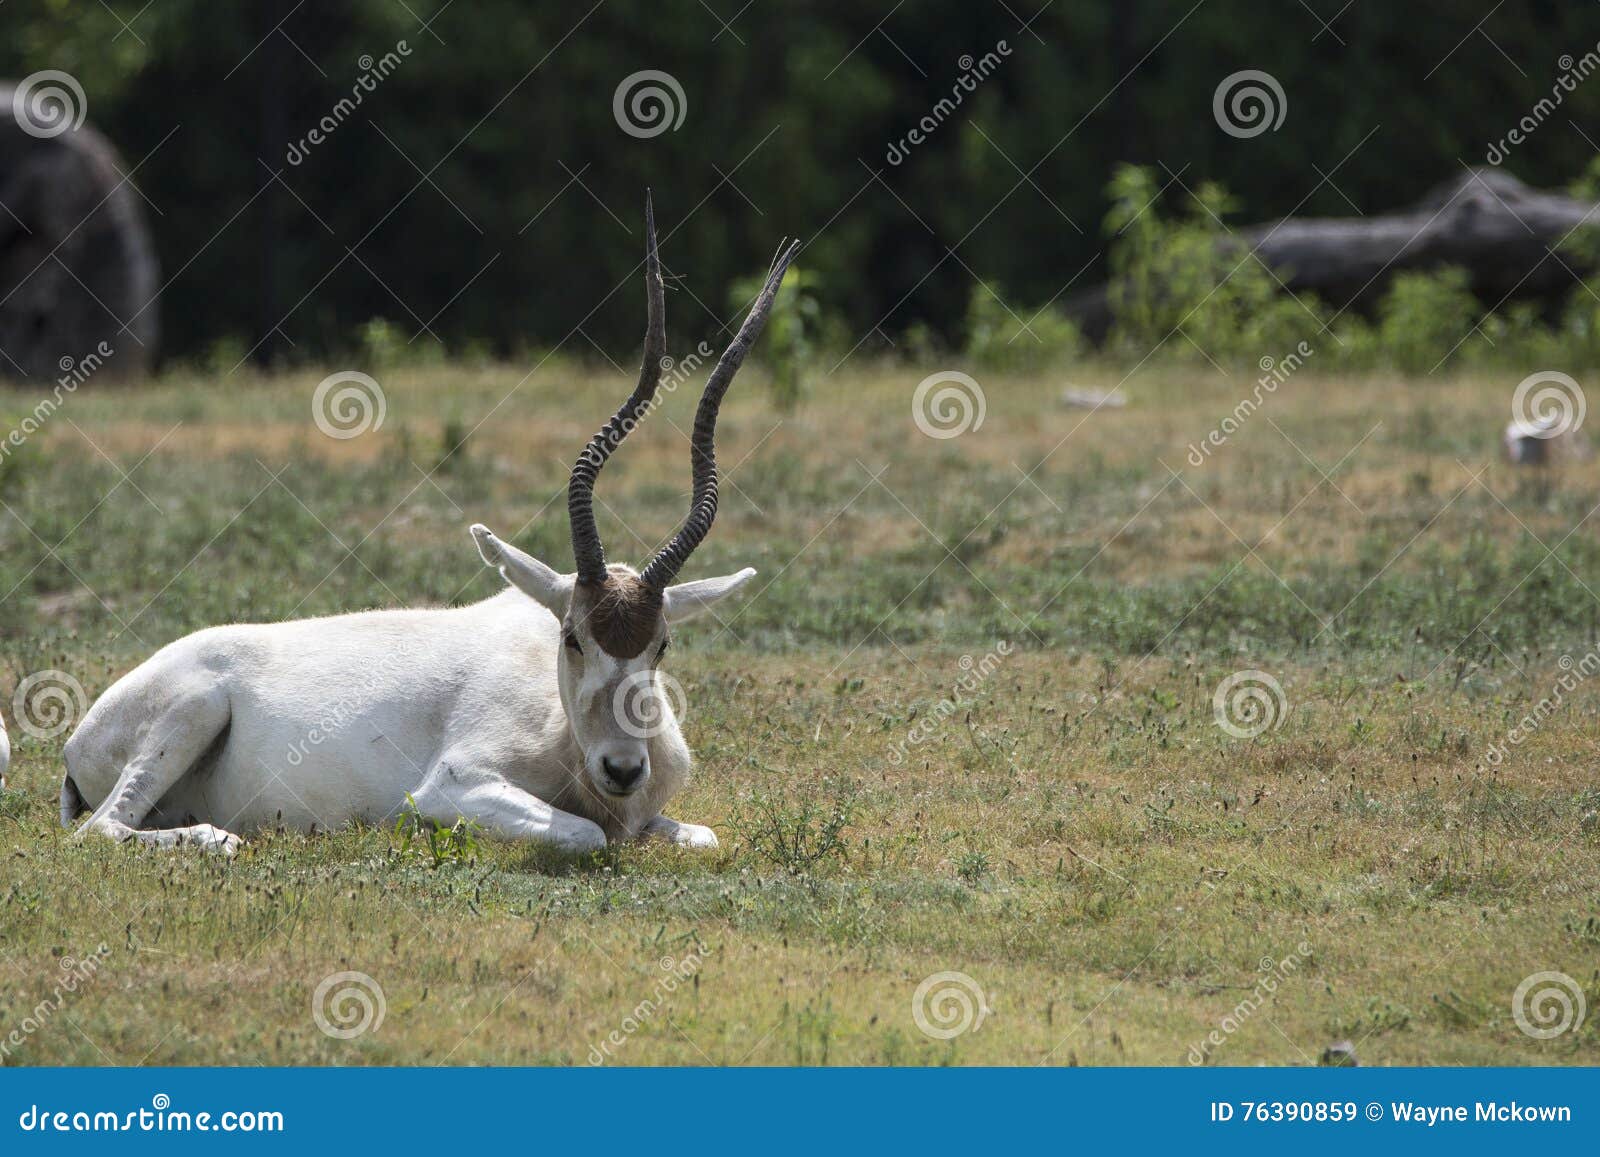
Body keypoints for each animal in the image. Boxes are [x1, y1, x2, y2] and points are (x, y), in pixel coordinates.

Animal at [62, 196, 800, 851]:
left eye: (662, 645)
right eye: (572, 638)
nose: (622, 768)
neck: (560, 720)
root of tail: (80, 735)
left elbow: (700, 835)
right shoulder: (453, 786)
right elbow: (589, 833)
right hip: (192, 711)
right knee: (100, 829)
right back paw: (217, 838)